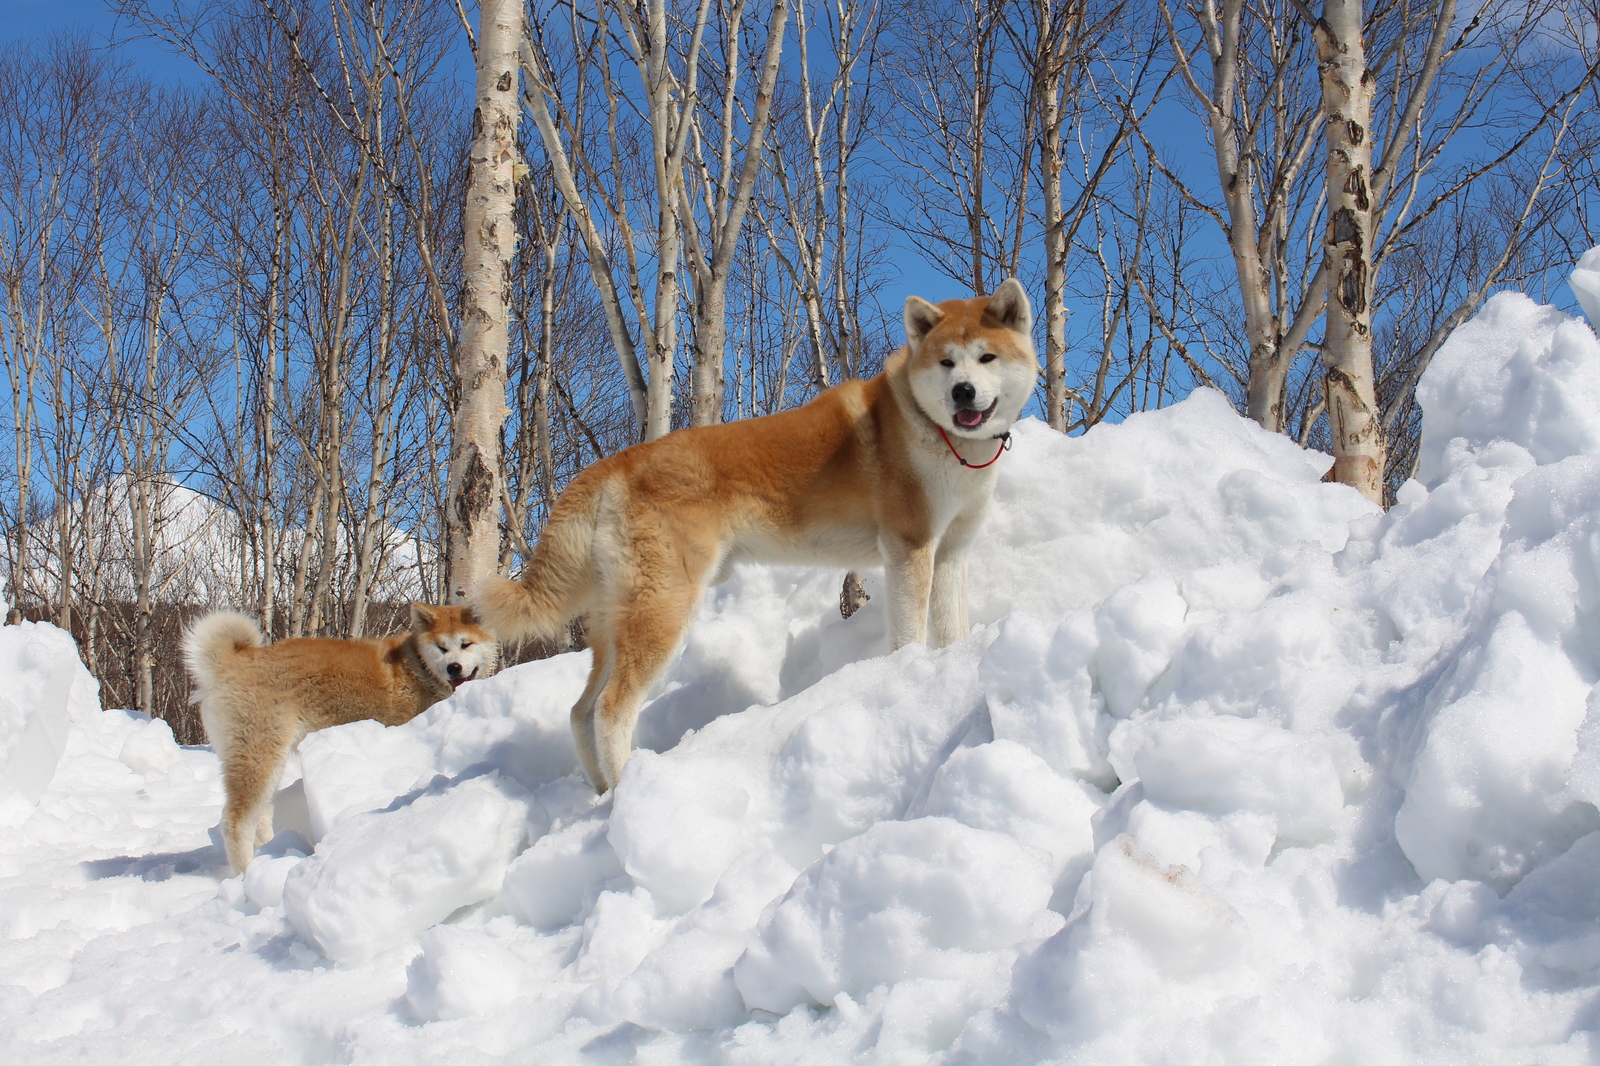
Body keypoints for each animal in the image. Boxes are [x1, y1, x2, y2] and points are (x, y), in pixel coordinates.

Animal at [181, 601, 496, 870]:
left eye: (465, 644)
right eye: (441, 648)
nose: (454, 667)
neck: (418, 668)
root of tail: (233, 661)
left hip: (269, 759)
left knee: (261, 816)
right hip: (257, 755)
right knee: (236, 823)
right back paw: (245, 874)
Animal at [473, 278, 1043, 793]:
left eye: (986, 358)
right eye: (946, 363)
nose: (963, 391)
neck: (938, 433)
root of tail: (618, 462)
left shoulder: (951, 552)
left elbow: (952, 627)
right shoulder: (909, 547)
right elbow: (909, 634)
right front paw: (905, 673)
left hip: (618, 619)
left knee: (580, 710)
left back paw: (600, 792)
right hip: (663, 610)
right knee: (611, 709)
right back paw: (625, 789)